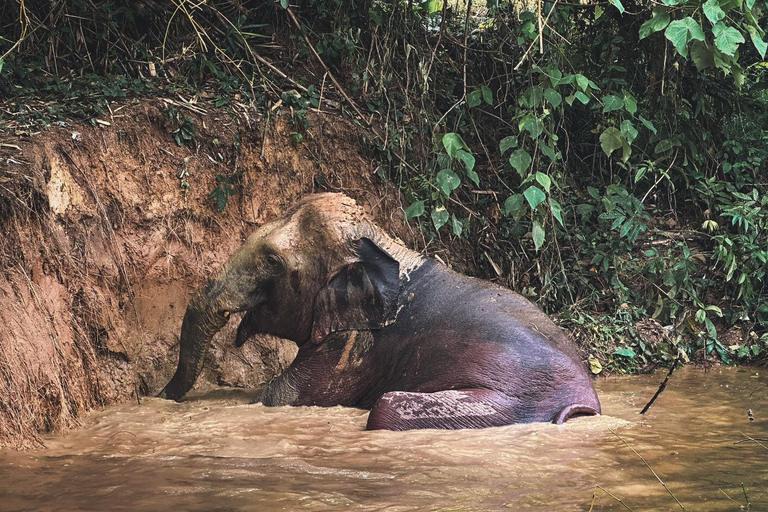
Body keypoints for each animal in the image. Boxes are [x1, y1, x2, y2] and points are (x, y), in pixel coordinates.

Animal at [159, 194, 604, 430]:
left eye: (273, 261)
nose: (157, 396)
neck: (383, 244)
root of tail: (587, 395)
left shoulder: (354, 344)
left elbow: (281, 396)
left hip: (515, 400)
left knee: (386, 409)